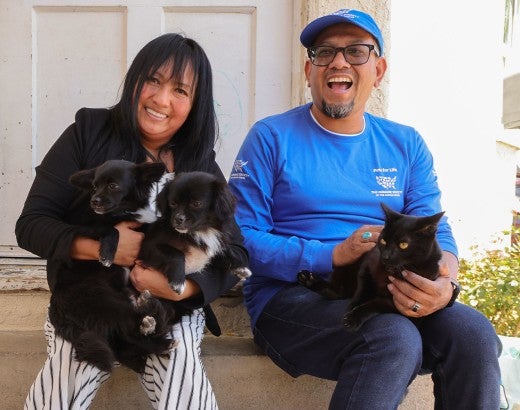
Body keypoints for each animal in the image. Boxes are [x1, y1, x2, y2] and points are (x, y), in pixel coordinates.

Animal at [298, 203, 444, 332]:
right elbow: (362, 291)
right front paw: (352, 307)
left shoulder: (397, 303)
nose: (385, 256)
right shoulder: (367, 267)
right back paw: (308, 279)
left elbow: (373, 305)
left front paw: (353, 318)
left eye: (403, 245)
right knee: (337, 292)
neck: (392, 271)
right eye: (383, 240)